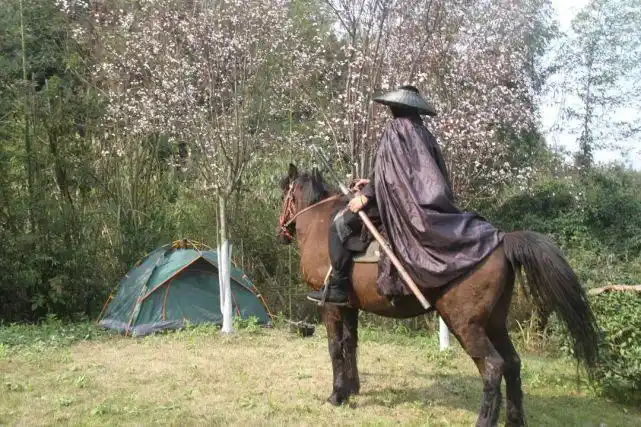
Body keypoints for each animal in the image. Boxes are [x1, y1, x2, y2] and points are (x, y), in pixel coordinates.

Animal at [276, 163, 598, 427]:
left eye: (284, 196)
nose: (281, 232)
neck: (319, 223)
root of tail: (502, 241)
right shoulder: (349, 306)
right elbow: (350, 344)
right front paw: (351, 389)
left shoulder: (329, 307)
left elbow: (334, 347)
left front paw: (336, 395)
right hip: (494, 322)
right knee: (513, 362)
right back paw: (514, 420)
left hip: (465, 324)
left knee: (493, 367)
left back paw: (485, 420)